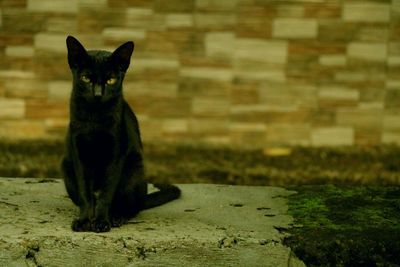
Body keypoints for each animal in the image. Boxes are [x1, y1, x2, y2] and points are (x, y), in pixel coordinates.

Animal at [61, 35, 180, 232]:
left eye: (110, 80)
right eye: (86, 78)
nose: (98, 94)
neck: (95, 118)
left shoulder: (116, 153)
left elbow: (106, 192)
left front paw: (102, 221)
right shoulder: (79, 153)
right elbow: (85, 193)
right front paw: (84, 220)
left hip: (133, 172)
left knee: (132, 207)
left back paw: (116, 217)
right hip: (66, 166)